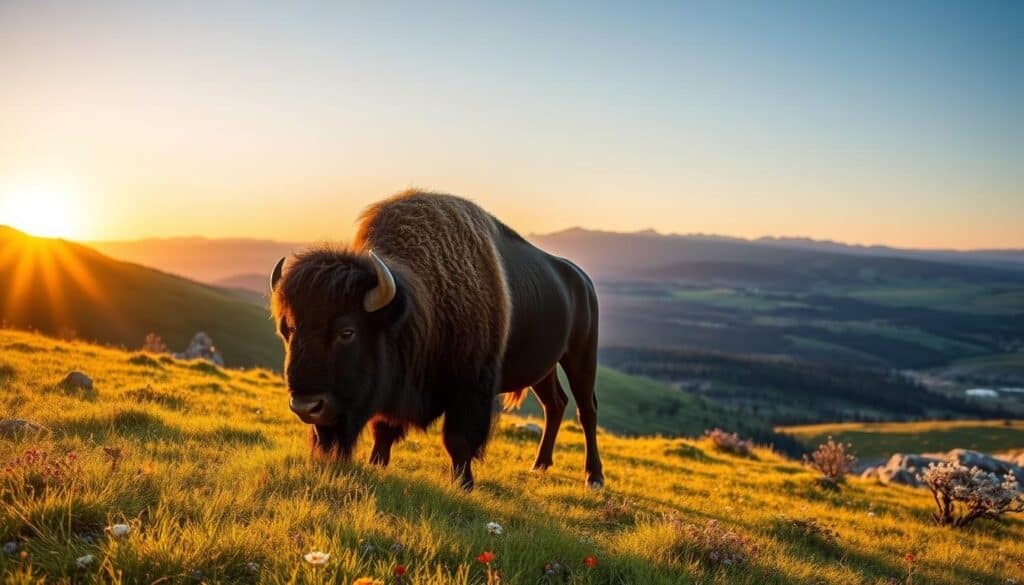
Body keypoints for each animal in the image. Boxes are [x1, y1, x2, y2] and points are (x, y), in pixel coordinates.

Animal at [272, 192, 602, 489]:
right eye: (288, 330)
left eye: (347, 332)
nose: (306, 406)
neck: (415, 307)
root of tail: (582, 281)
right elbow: (384, 428)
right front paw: (377, 464)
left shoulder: (471, 387)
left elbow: (457, 440)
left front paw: (463, 483)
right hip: (544, 370)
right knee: (555, 404)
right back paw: (540, 465)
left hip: (580, 357)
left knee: (586, 410)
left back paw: (593, 477)